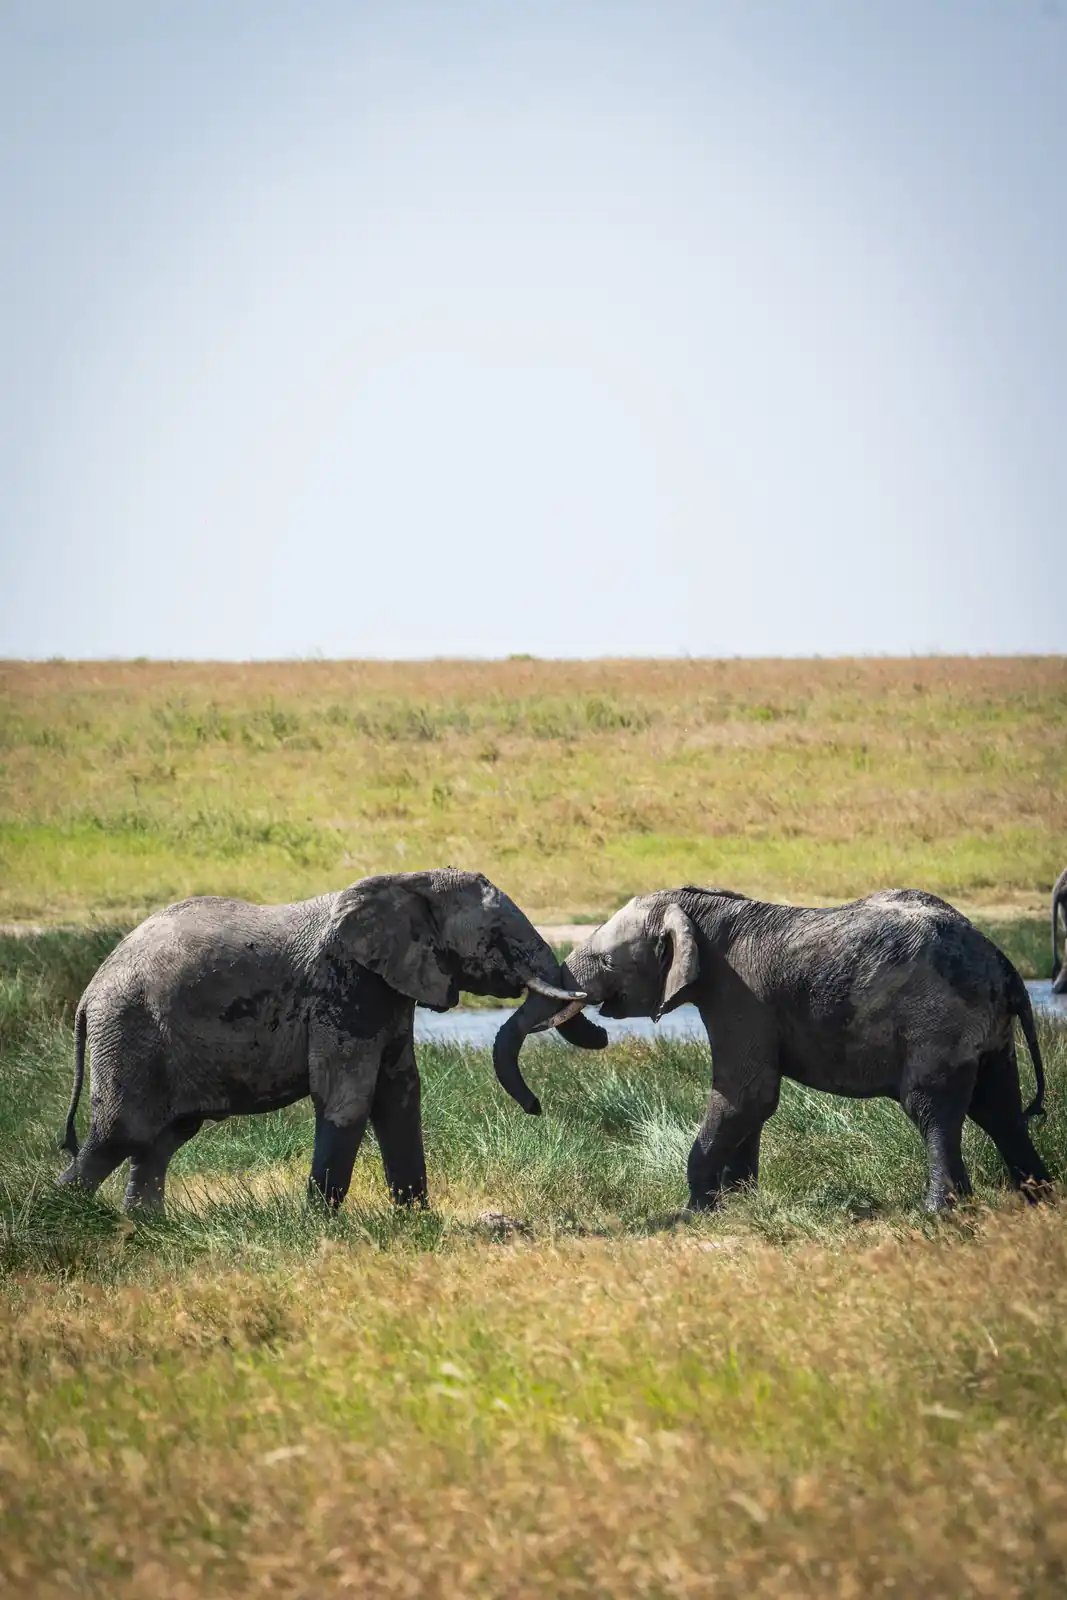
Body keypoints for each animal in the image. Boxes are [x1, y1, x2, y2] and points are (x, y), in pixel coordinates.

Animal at [59, 869, 586, 1212]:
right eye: (497, 934)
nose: (535, 1108)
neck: (411, 881)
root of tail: (89, 991)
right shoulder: (345, 986)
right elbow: (347, 1097)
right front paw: (319, 1227)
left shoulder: (390, 989)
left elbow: (400, 1097)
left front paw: (416, 1222)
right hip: (129, 1028)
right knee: (120, 1134)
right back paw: (60, 1220)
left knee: (161, 1139)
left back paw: (142, 1229)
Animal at [493, 886, 1051, 1214]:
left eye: (608, 962)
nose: (534, 1106)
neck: (701, 908)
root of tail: (1005, 964)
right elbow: (751, 1105)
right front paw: (739, 1205)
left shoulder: (740, 992)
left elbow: (745, 1095)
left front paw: (696, 1211)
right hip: (986, 1029)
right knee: (998, 1107)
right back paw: (1036, 1198)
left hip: (938, 1020)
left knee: (932, 1106)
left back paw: (939, 1212)